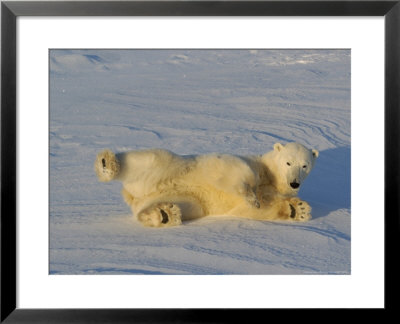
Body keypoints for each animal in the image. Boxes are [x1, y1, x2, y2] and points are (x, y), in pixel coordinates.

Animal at [94, 142, 318, 228]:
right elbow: (238, 170)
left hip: (186, 200)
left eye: (304, 165)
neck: (270, 175)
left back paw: (164, 214)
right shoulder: (248, 163)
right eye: (288, 162)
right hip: (167, 167)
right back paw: (107, 164)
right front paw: (251, 195)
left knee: (159, 207)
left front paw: (298, 209)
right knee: (150, 158)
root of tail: (133, 196)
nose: (294, 182)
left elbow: (258, 209)